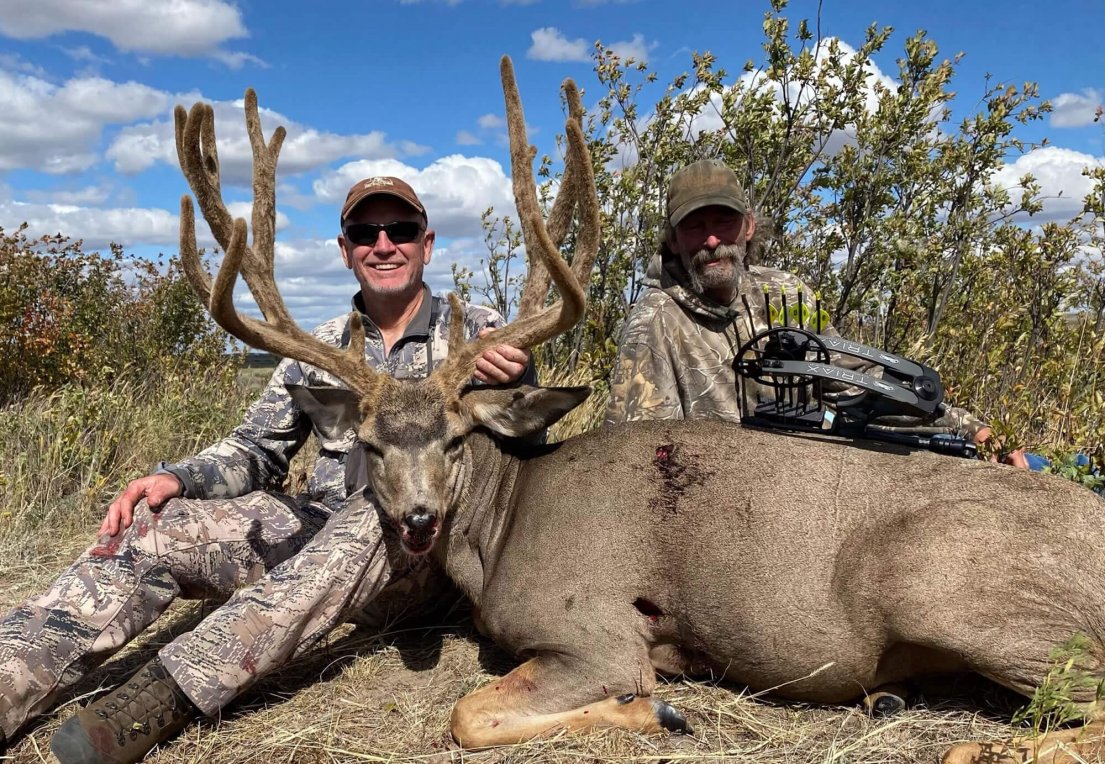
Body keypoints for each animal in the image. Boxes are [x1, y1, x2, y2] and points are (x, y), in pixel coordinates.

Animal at [176, 56, 1105, 764]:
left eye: (456, 437)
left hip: (954, 592)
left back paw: (976, 743)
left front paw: (656, 707)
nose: (414, 518)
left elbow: (470, 712)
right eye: (367, 442)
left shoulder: (597, 628)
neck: (507, 521)